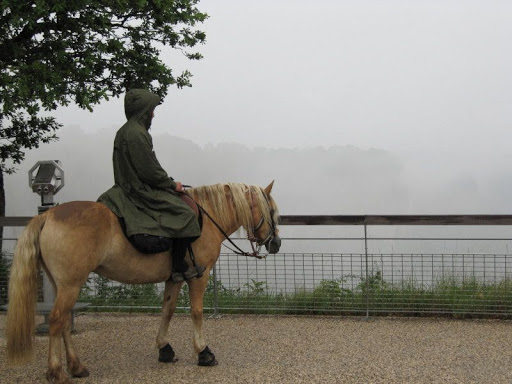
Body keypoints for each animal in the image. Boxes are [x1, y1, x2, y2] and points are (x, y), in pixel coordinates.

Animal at [6, 182, 280, 382]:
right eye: (273, 212)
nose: (276, 244)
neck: (207, 217)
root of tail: (48, 216)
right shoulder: (198, 277)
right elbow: (196, 312)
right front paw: (203, 352)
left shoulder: (174, 278)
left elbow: (168, 310)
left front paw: (164, 348)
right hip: (71, 285)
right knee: (55, 321)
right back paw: (56, 370)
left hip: (62, 285)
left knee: (63, 322)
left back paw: (76, 366)